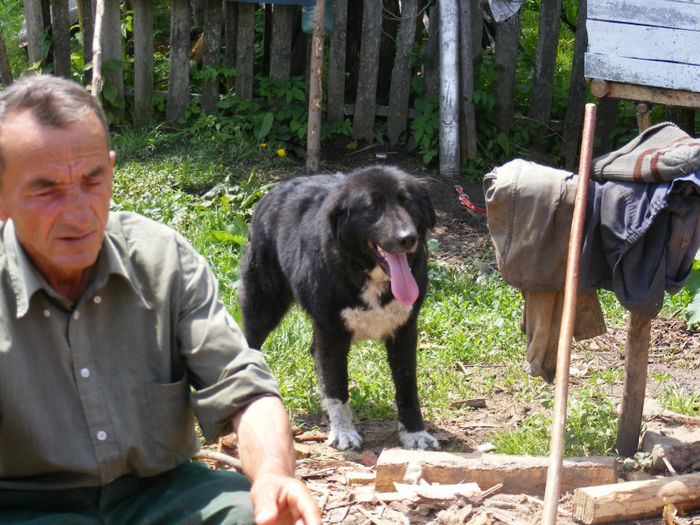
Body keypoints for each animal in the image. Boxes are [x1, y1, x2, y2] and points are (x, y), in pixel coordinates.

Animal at [241, 166, 438, 448]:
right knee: (249, 342)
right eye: (371, 207)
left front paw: (414, 433)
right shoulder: (332, 332)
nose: (407, 238)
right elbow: (337, 385)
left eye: (407, 201)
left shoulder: (404, 331)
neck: (368, 274)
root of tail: (270, 194)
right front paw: (343, 431)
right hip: (263, 306)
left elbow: (407, 387)